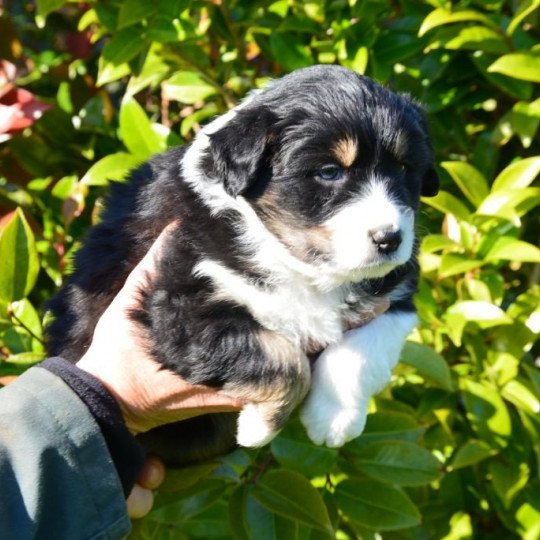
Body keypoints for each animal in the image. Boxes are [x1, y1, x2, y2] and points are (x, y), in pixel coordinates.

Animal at [47, 65, 438, 464]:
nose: (390, 239)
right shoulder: (179, 302)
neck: (298, 264)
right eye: (329, 172)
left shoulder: (394, 299)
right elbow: (282, 358)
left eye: (404, 168)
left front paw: (333, 420)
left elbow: (360, 353)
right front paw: (259, 428)